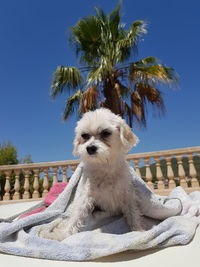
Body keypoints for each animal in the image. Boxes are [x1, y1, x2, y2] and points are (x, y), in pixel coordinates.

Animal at [38, 108, 144, 242]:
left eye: (106, 133)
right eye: (84, 135)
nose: (90, 148)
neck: (104, 166)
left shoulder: (127, 194)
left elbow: (133, 213)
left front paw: (138, 230)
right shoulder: (86, 195)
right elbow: (76, 217)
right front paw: (64, 234)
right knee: (64, 219)